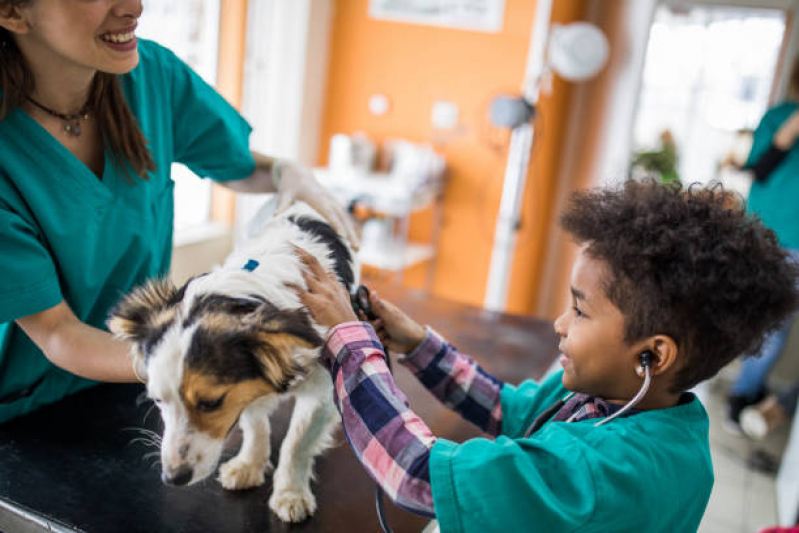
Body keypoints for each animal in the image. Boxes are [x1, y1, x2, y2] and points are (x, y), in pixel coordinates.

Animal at [107, 198, 356, 520]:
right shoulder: (244, 390)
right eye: (158, 401)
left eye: (211, 403)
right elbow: (255, 425)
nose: (173, 478)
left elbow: (297, 443)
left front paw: (291, 492)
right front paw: (250, 464)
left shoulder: (320, 394)